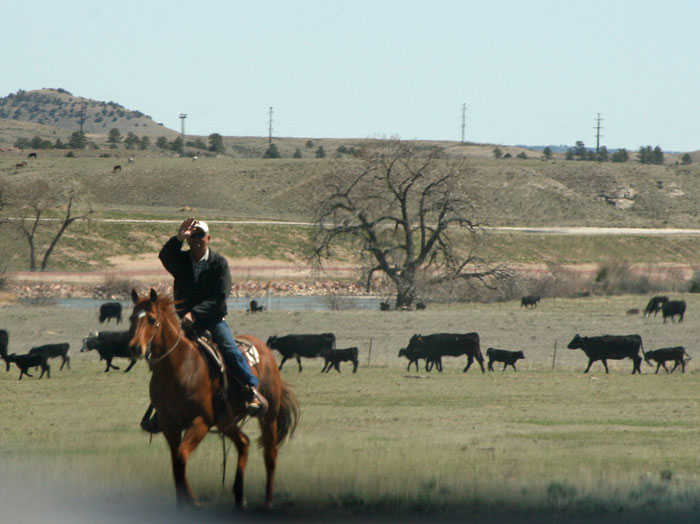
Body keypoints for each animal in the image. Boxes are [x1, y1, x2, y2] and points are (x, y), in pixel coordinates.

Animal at [130, 288, 300, 510]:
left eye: (151, 319)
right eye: (132, 317)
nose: (135, 348)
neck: (180, 367)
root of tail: (265, 350)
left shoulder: (201, 422)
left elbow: (181, 457)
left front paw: (193, 501)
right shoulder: (170, 425)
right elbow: (176, 463)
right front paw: (183, 502)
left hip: (268, 416)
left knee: (270, 454)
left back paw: (267, 501)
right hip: (225, 421)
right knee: (243, 443)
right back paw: (239, 495)